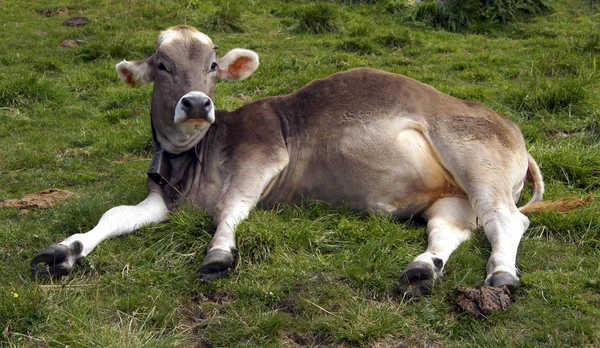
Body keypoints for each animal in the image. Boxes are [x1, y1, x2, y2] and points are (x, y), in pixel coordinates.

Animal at [30, 25, 564, 294]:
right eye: (161, 65)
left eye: (212, 66)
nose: (197, 103)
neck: (196, 158)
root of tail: (507, 124)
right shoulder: (161, 200)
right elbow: (114, 216)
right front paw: (64, 251)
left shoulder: (265, 154)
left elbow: (231, 208)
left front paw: (219, 252)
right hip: (450, 197)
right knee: (450, 229)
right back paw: (422, 267)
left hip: (477, 161)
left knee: (507, 221)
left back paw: (501, 274)